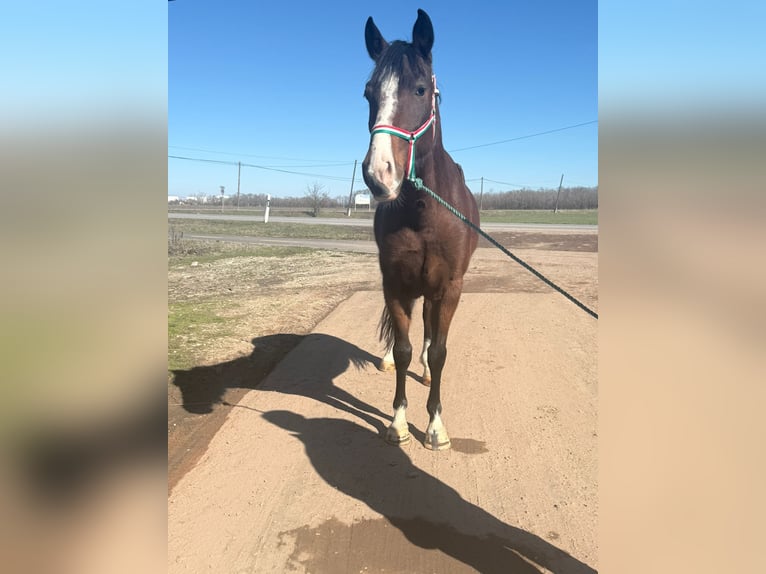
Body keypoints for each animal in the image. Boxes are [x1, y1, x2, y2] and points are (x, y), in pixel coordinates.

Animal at [362, 9, 479, 450]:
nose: (379, 174)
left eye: (420, 89)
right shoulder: (396, 284)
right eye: (368, 93)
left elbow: (441, 350)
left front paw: (435, 425)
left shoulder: (449, 287)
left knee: (431, 332)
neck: (423, 211)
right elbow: (403, 349)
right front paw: (397, 421)